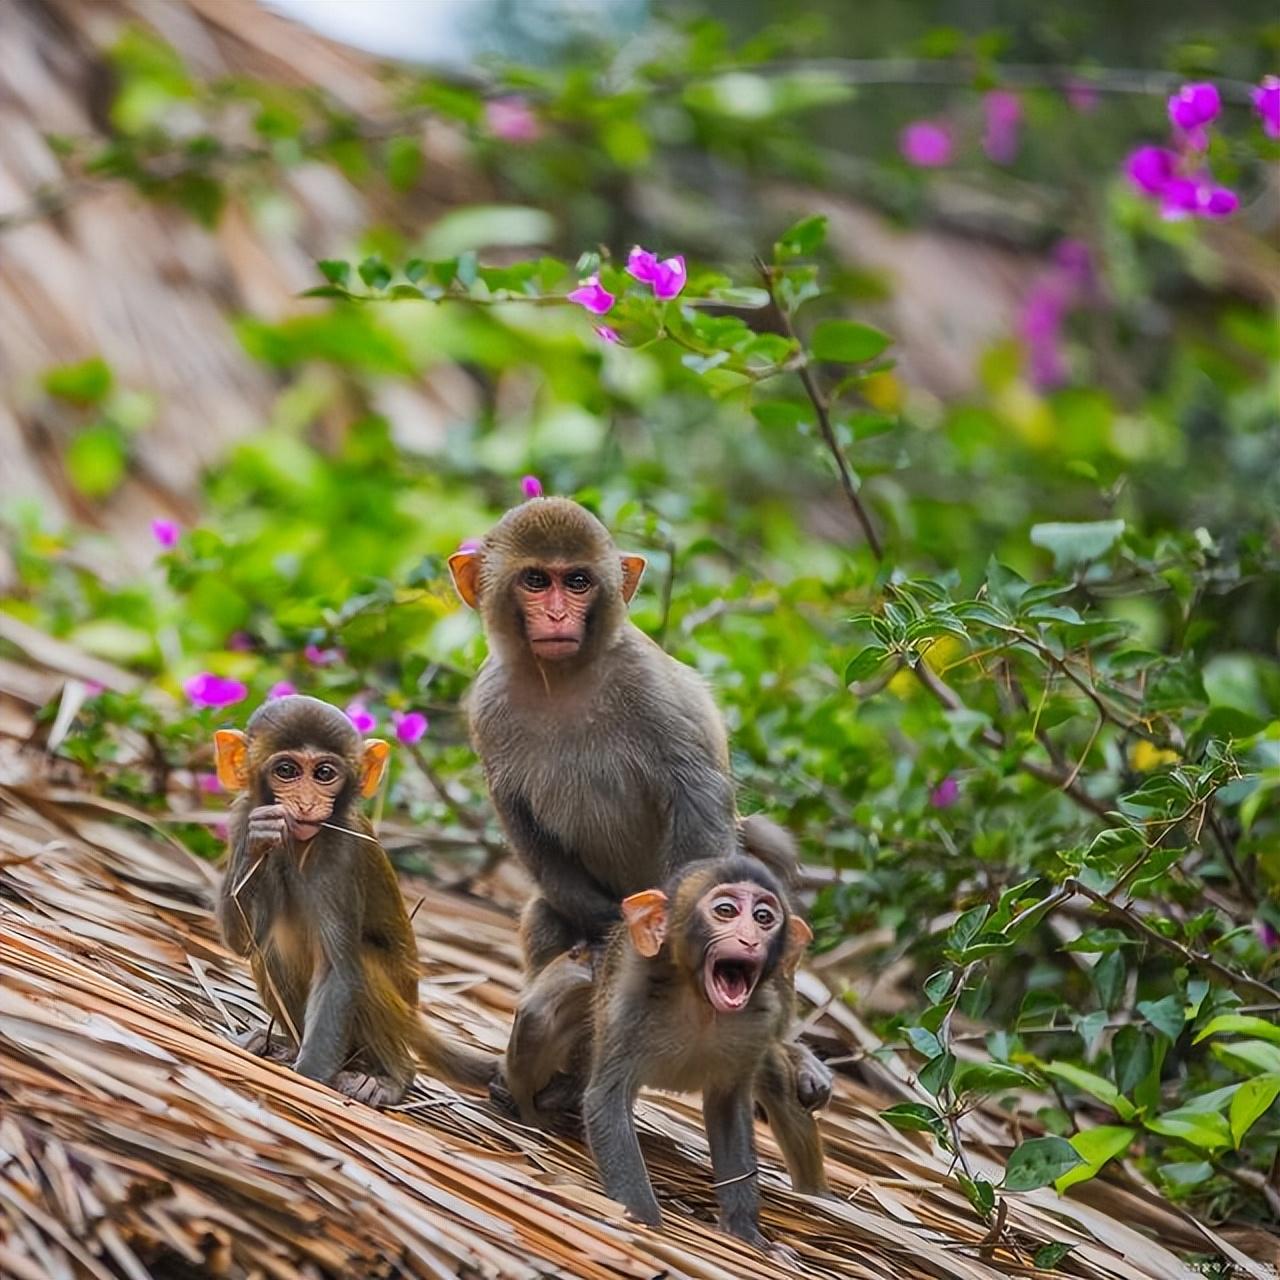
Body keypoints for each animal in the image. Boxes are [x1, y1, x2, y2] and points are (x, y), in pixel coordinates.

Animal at [212, 696, 496, 1105]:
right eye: (287, 770)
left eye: (324, 773)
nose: (305, 803)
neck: (304, 844)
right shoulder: (241, 816)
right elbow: (245, 943)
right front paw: (261, 838)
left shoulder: (343, 853)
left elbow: (339, 970)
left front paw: (307, 1080)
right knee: (273, 947)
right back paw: (286, 1044)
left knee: (362, 961)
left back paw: (393, 1077)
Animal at [448, 499, 829, 1121]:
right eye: (537, 581)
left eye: (578, 581)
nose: (558, 615)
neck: (564, 680)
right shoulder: (487, 706)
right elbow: (527, 832)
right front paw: (606, 946)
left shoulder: (653, 689)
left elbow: (697, 799)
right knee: (546, 913)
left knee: (761, 844)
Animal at [583, 855, 824, 1254]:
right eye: (725, 911)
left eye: (763, 917)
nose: (750, 938)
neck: (700, 1002)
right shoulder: (628, 1001)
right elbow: (607, 1098)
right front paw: (641, 1218)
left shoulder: (760, 1019)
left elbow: (728, 1104)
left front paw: (743, 1229)